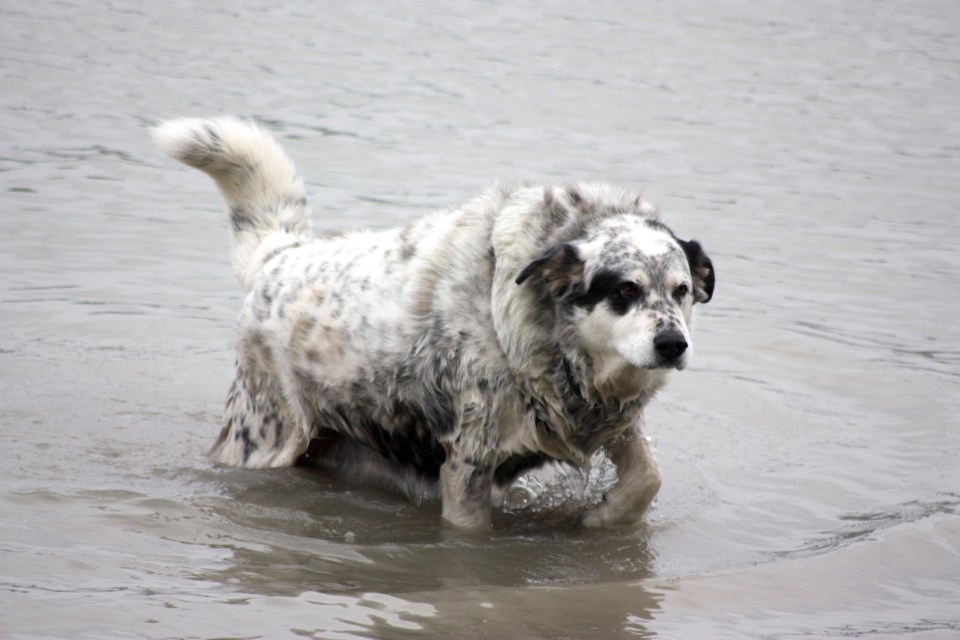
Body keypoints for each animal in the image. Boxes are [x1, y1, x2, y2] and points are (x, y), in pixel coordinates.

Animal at [152, 116, 712, 528]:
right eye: (626, 290)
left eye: (681, 291)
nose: (673, 344)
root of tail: (281, 254)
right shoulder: (469, 461)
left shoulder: (613, 421)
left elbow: (647, 477)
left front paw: (604, 518)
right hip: (264, 438)